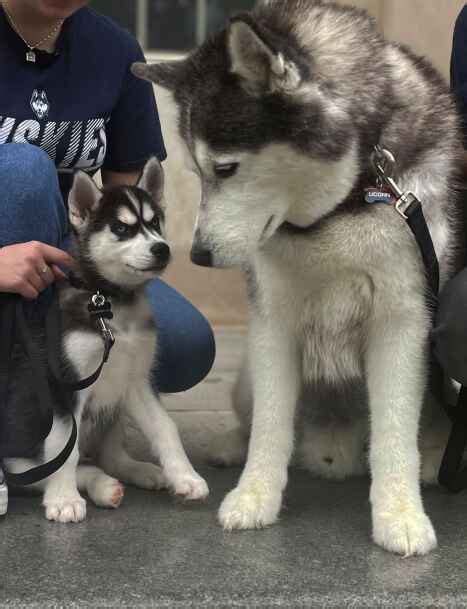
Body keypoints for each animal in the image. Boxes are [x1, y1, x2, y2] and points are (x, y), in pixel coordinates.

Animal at [4, 158, 209, 524]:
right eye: (122, 229)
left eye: (155, 223)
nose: (162, 249)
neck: (110, 303)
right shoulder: (64, 384)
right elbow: (65, 448)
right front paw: (63, 499)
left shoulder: (136, 379)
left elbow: (165, 427)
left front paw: (186, 477)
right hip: (19, 445)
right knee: (42, 471)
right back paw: (99, 485)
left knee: (107, 457)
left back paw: (137, 472)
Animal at [133, 0, 466, 552]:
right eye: (197, 173)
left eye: (225, 168)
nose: (197, 255)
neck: (345, 203)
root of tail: (334, 450)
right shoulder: (273, 319)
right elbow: (271, 424)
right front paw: (254, 497)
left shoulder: (403, 320)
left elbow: (395, 433)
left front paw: (400, 515)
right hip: (245, 375)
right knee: (257, 416)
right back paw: (232, 444)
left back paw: (437, 457)